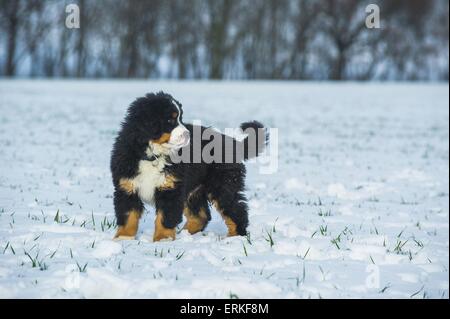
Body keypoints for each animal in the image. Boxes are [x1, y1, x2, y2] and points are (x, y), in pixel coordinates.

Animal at [110, 92, 266, 242]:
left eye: (180, 118)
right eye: (170, 120)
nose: (188, 134)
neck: (153, 155)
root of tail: (232, 142)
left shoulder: (171, 188)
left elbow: (165, 217)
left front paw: (163, 239)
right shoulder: (127, 187)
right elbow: (128, 215)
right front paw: (124, 238)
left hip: (223, 185)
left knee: (236, 210)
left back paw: (235, 238)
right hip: (194, 190)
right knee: (201, 216)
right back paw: (185, 233)